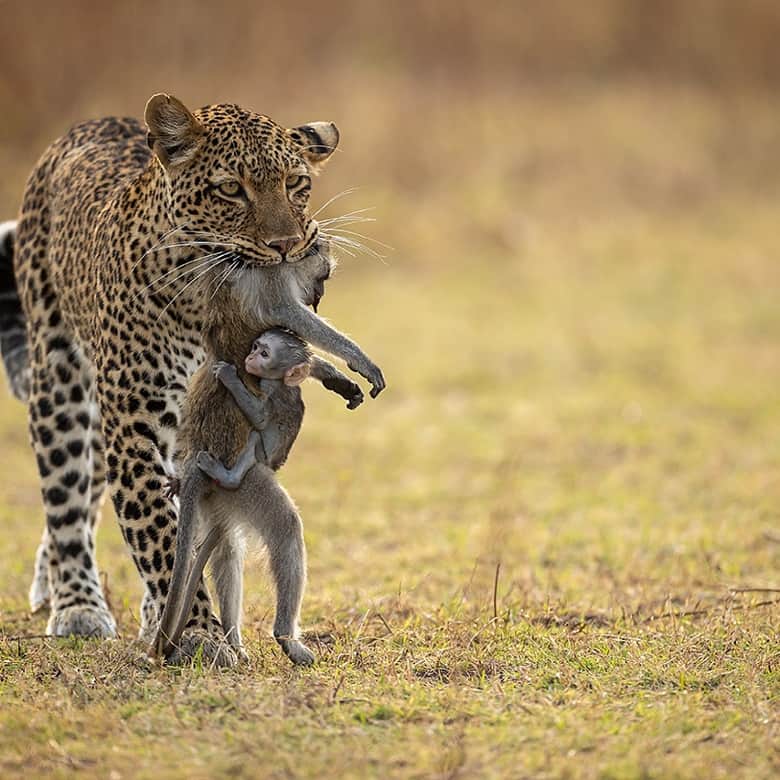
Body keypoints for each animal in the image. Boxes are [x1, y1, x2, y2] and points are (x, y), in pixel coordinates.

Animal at [151, 248, 382, 664]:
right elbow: (289, 318)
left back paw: (233, 641)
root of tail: (195, 464)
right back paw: (285, 638)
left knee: (226, 551)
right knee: (283, 528)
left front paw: (334, 376)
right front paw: (353, 361)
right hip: (247, 481)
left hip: (218, 496)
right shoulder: (270, 289)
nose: (319, 296)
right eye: (322, 275)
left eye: (263, 351)